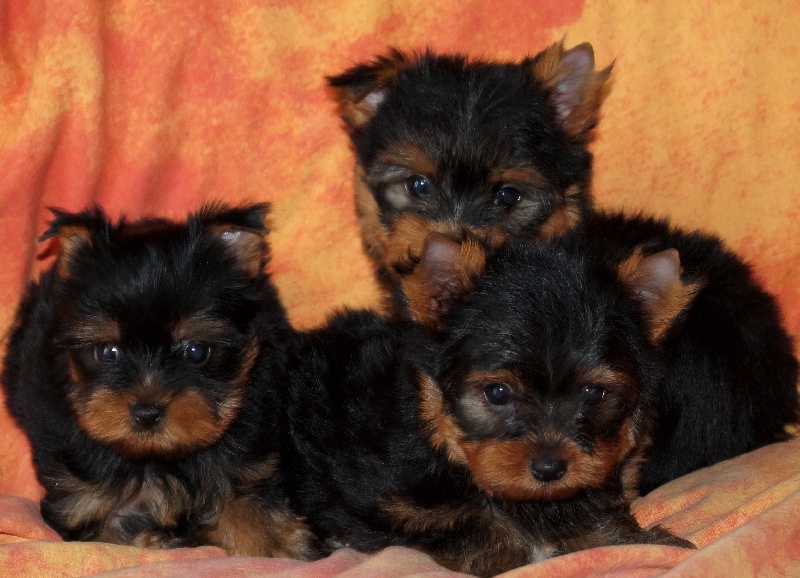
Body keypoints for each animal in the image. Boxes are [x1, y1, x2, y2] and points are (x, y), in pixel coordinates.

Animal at [1, 204, 318, 560]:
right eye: (107, 351)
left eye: (196, 351)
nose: (147, 412)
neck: (156, 456)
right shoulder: (81, 497)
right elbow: (107, 533)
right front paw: (158, 541)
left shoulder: (243, 464)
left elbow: (254, 514)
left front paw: (284, 552)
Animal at [282, 232, 692, 572]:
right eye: (497, 393)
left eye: (594, 393)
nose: (549, 468)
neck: (439, 440)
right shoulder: (371, 497)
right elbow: (466, 527)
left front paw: (639, 539)